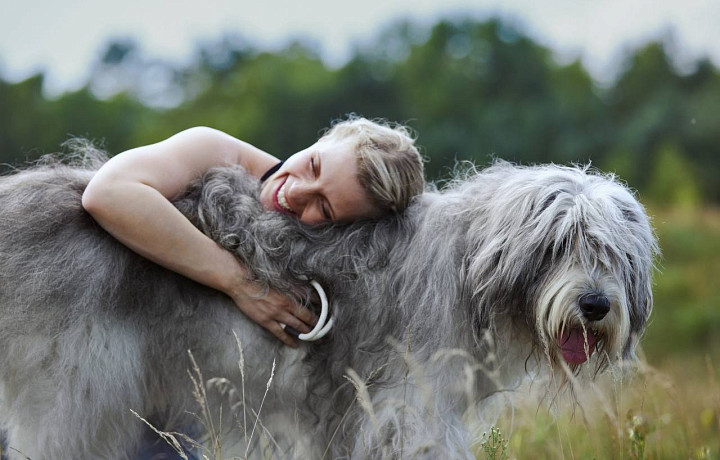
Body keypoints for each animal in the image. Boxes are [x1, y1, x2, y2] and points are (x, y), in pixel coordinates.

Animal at [0, 144, 660, 460]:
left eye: (614, 254)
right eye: (560, 244)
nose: (596, 305)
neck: (467, 270)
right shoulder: (408, 409)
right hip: (74, 402)